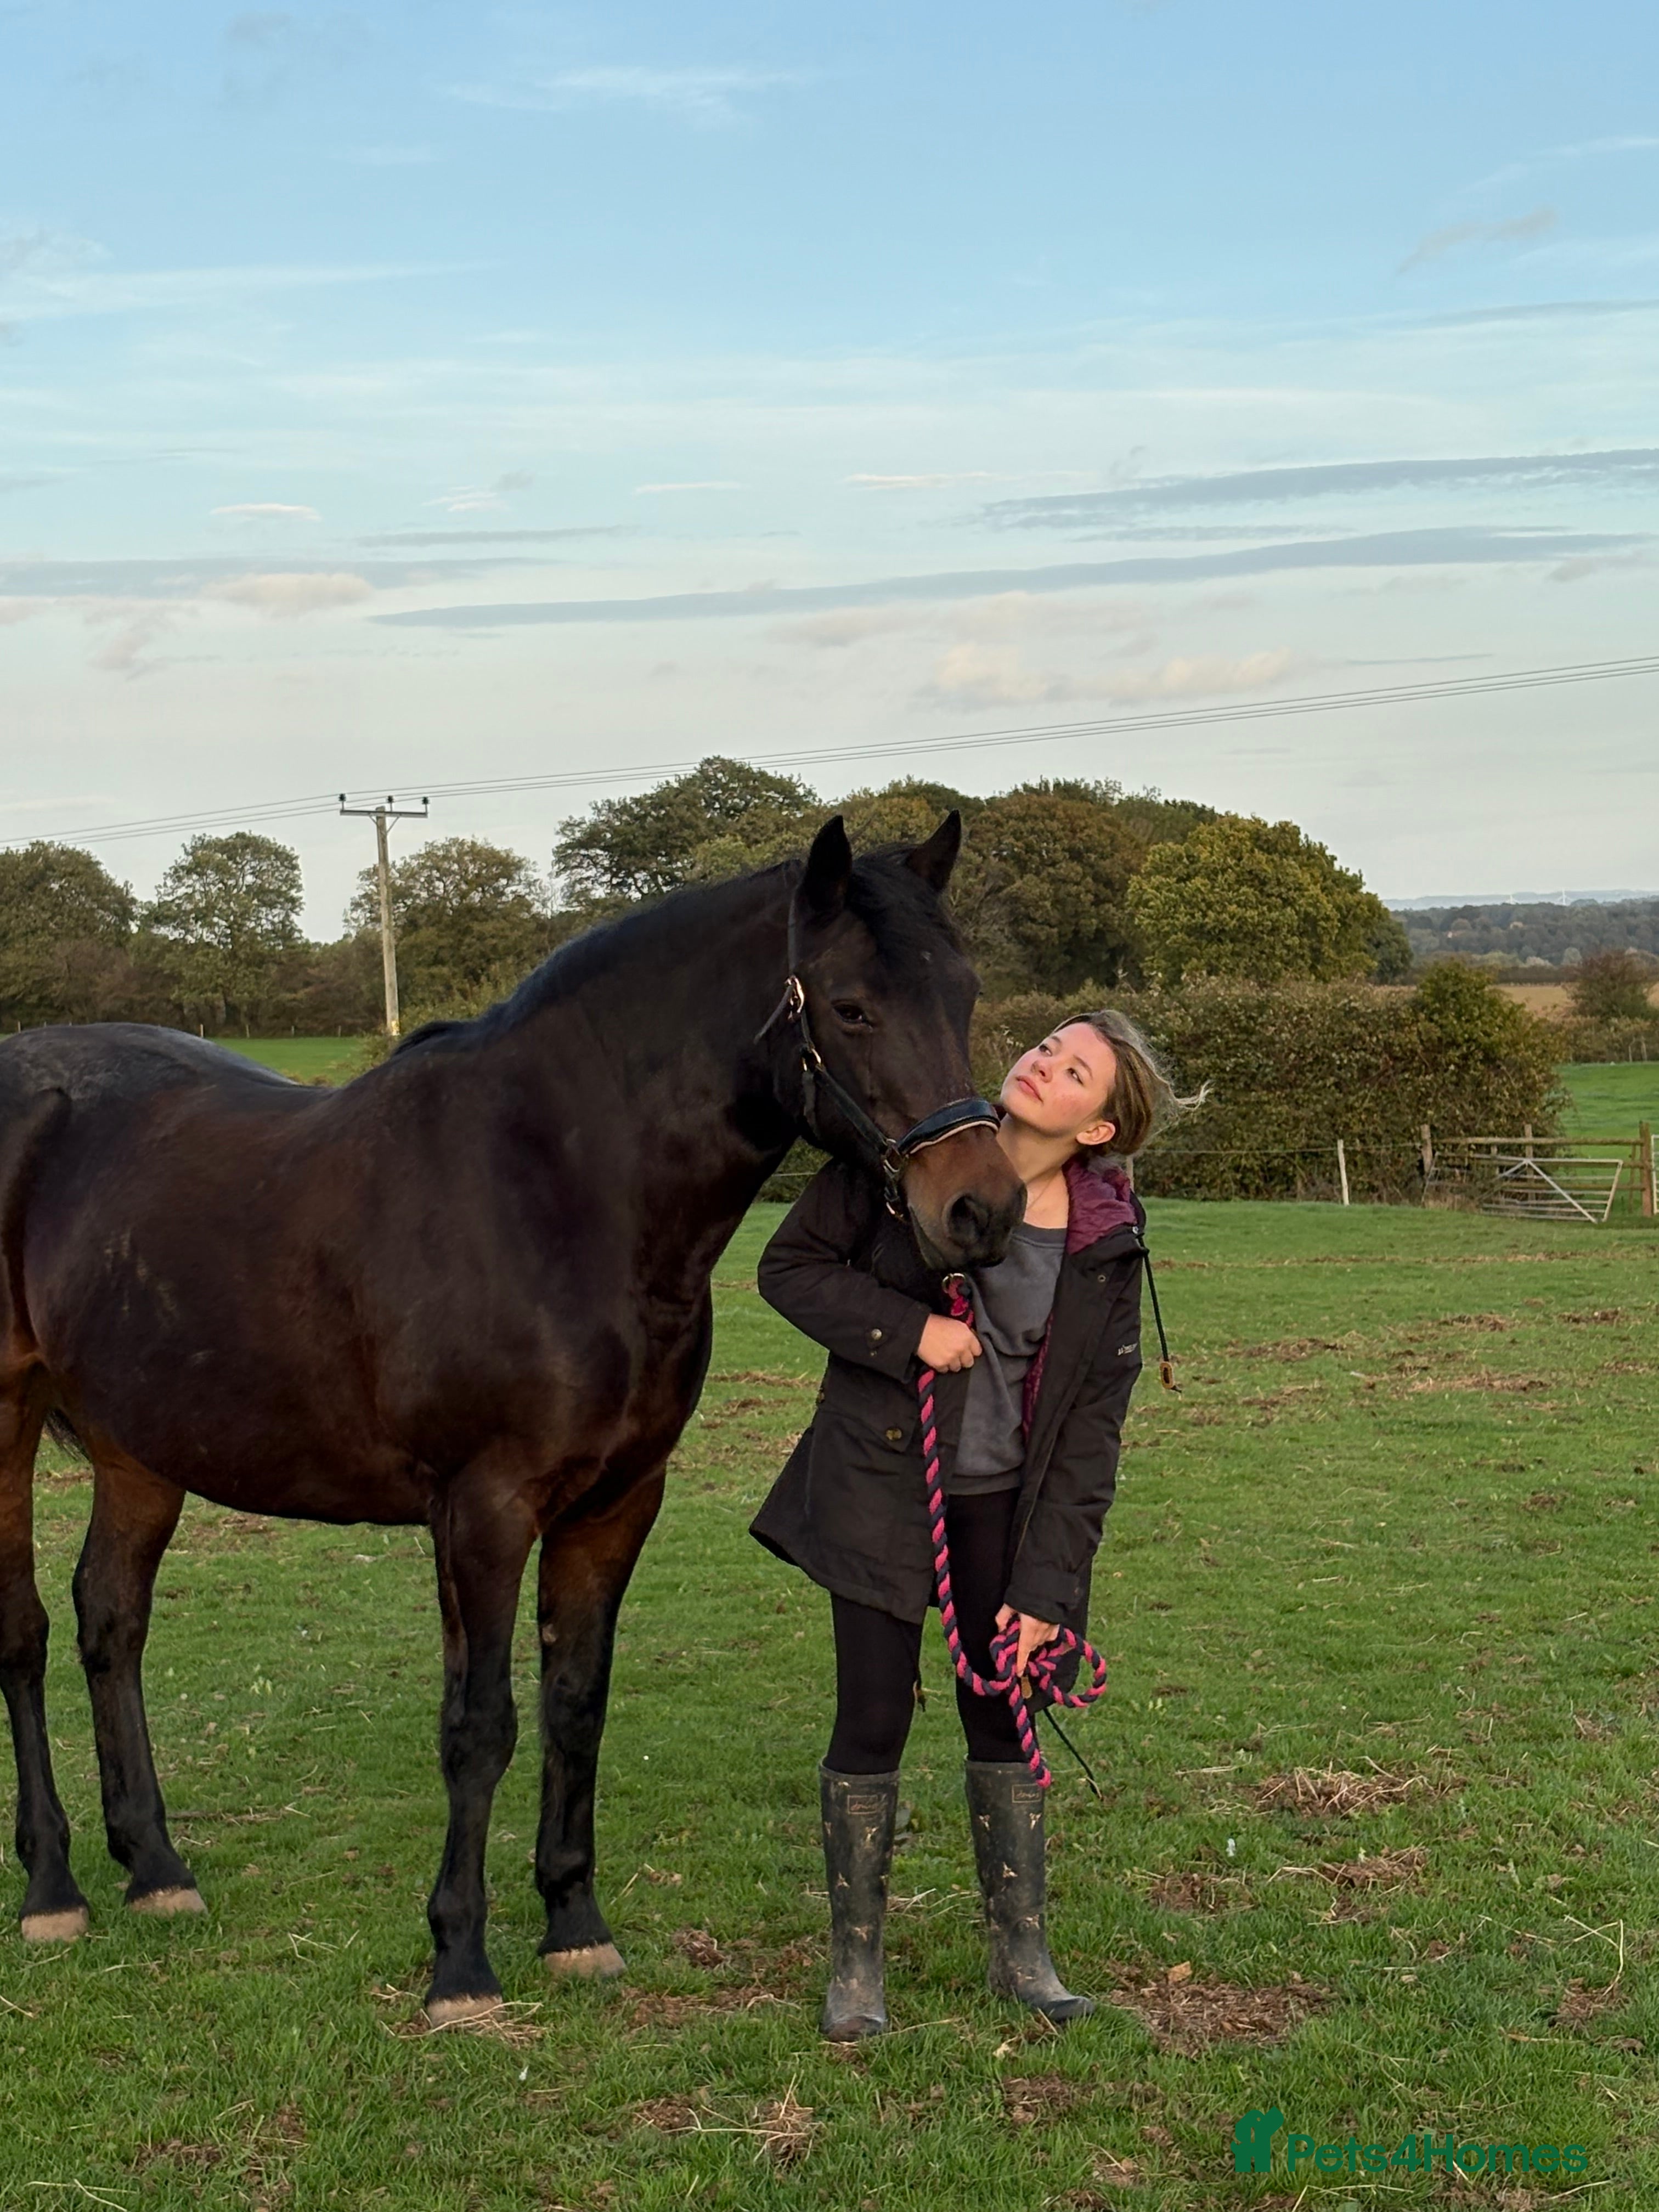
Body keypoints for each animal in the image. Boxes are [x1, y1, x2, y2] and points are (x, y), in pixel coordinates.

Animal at [0, 814, 1023, 2021]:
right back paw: (53, 1888)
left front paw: (576, 1925)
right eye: (854, 1005)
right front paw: (460, 1961)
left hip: (141, 1446)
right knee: (23, 1633)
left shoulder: (615, 1505)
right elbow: (480, 1724)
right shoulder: (482, 1509)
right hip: (10, 1420)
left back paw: (155, 1868)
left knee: (109, 1619)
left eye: (962, 993)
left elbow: (575, 1704)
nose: (984, 1208)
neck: (554, 1191)